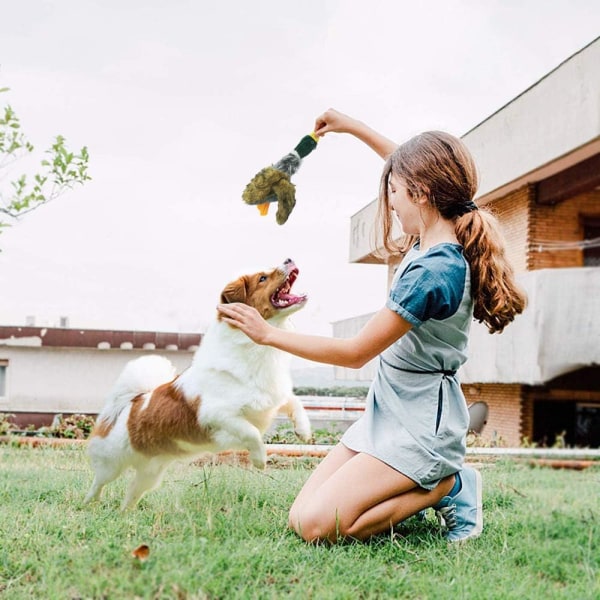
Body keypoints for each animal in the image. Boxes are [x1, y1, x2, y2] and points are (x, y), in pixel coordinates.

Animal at [86, 258, 312, 510]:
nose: (289, 259)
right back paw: (90, 503)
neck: (254, 349)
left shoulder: (272, 396)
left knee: (131, 494)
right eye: (262, 278)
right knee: (98, 482)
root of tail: (131, 403)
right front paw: (260, 459)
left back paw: (125, 513)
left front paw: (303, 431)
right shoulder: (217, 415)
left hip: (150, 475)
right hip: (111, 464)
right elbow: (251, 432)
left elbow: (295, 402)